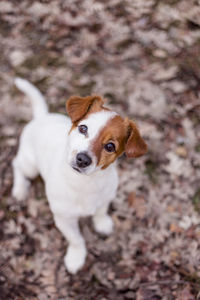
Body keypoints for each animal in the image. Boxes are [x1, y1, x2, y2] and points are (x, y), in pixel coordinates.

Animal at [12, 78, 147, 274]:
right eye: (83, 128)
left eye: (110, 146)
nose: (82, 159)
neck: (85, 183)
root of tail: (41, 117)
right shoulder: (64, 220)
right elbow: (76, 239)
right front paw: (76, 257)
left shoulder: (105, 198)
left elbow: (101, 211)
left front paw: (102, 223)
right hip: (30, 166)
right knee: (17, 164)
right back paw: (20, 189)